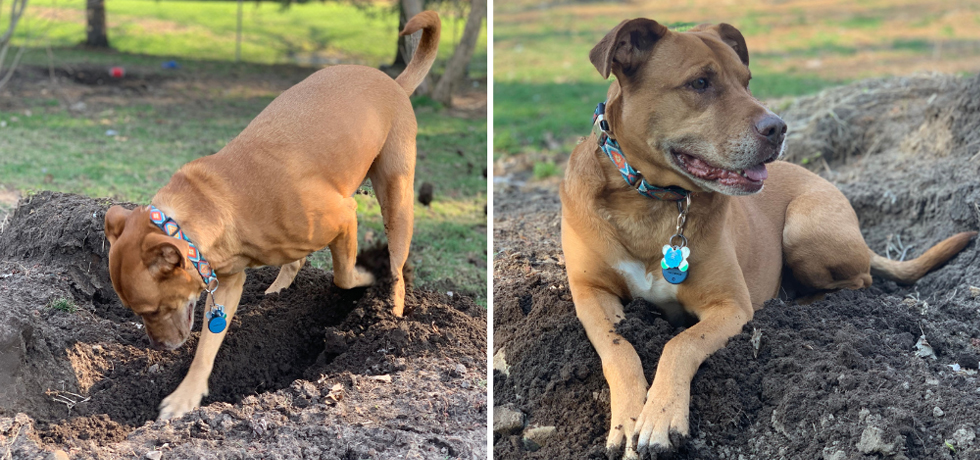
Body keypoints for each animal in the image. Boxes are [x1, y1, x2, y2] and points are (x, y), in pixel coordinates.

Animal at [104, 11, 440, 420]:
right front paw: (186, 395)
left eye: (153, 309)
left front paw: (365, 277)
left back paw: (392, 308)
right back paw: (279, 289)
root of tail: (393, 84)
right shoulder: (226, 283)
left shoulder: (345, 214)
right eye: (135, 311)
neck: (219, 201)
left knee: (397, 264)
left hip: (397, 194)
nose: (160, 348)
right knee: (296, 259)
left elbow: (344, 276)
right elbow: (206, 348)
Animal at [556, 17, 976, 456]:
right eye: (700, 83)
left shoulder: (731, 306)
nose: (779, 127)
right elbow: (619, 348)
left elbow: (680, 344)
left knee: (860, 281)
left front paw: (660, 416)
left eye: (747, 81)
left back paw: (801, 304)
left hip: (803, 228)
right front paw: (627, 419)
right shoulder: (591, 293)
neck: (651, 201)